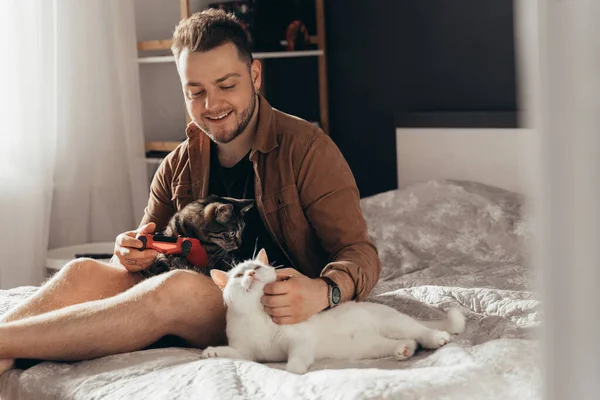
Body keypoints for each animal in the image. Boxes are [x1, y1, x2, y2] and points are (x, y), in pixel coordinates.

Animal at [204, 250, 466, 376]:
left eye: (257, 267)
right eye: (239, 275)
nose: (250, 274)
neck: (257, 315)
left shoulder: (298, 340)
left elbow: (298, 355)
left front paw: (293, 370)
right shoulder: (247, 353)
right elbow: (234, 354)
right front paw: (212, 352)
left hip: (396, 323)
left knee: (422, 332)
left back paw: (437, 338)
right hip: (369, 347)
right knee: (409, 341)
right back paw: (403, 350)